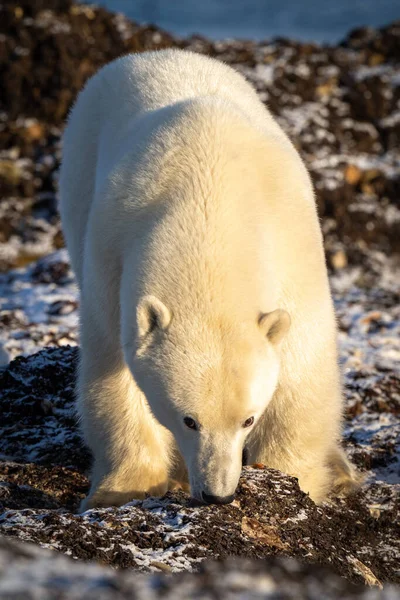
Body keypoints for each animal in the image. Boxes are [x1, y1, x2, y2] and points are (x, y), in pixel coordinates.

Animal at [59, 48, 356, 510]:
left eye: (248, 419)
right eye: (189, 420)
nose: (217, 494)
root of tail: (153, 54)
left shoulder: (294, 243)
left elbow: (303, 365)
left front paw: (296, 480)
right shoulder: (111, 253)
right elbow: (111, 368)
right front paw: (121, 490)